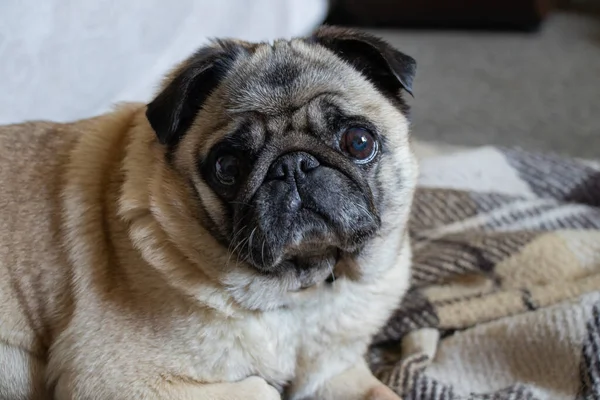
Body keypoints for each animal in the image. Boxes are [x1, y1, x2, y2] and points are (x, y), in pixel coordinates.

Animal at [0, 26, 418, 398]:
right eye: (227, 167)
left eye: (358, 142)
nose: (292, 165)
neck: (301, 292)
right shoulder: (117, 378)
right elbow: (261, 391)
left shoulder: (337, 373)